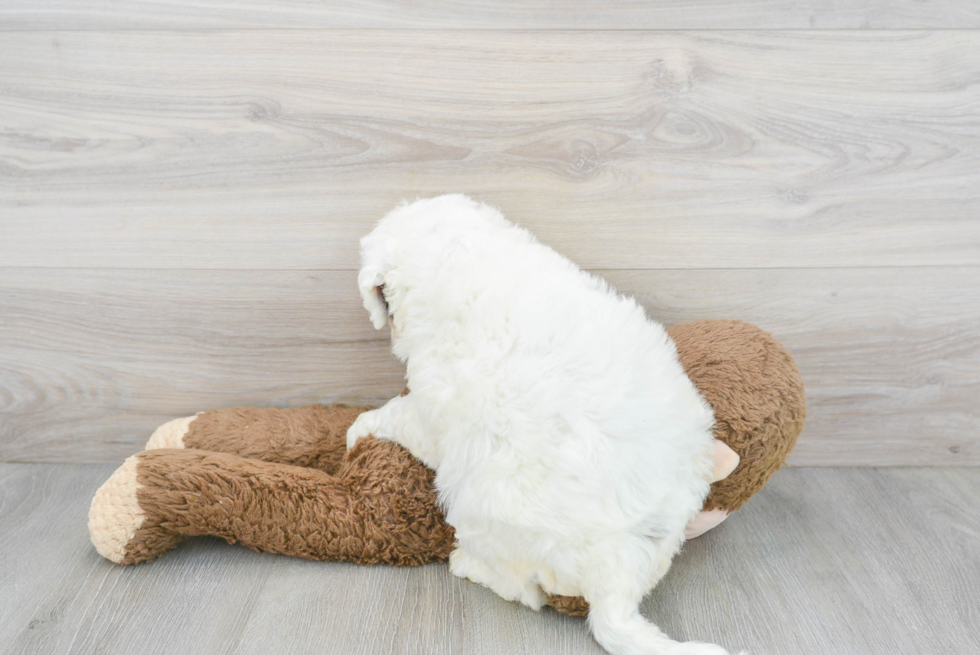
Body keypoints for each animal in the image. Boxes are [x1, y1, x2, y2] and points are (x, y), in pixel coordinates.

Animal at [348, 196, 732, 655]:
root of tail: (614, 583)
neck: (461, 257)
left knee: (524, 590)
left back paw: (467, 565)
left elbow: (398, 416)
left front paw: (359, 427)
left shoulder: (434, 407)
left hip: (484, 511)